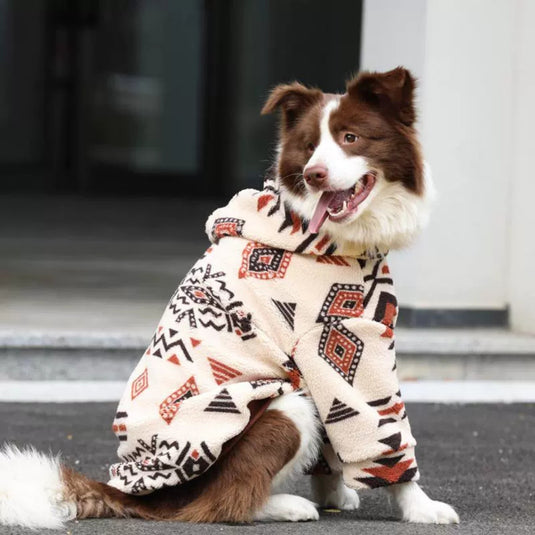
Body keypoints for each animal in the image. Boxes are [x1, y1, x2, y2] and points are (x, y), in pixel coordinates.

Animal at [0, 67, 460, 528]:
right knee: (224, 501)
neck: (324, 238)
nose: (314, 173)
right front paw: (419, 506)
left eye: (351, 137)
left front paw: (335, 492)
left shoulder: (325, 361)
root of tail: (144, 499)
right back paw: (286, 506)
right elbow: (383, 429)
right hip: (283, 409)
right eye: (309, 146)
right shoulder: (344, 340)